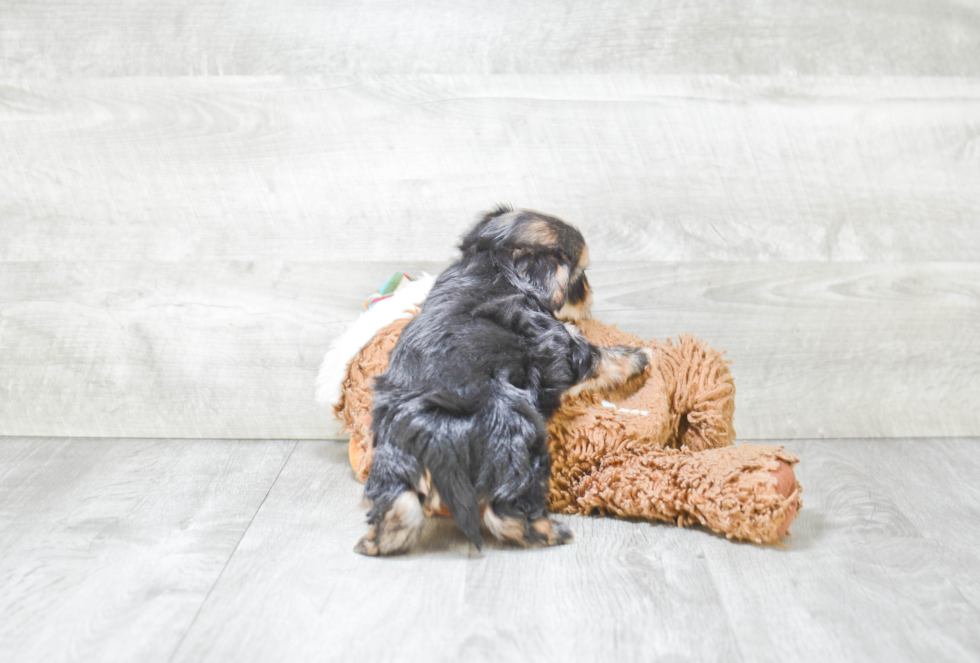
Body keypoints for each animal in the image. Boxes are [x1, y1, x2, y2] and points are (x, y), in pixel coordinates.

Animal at [352, 206, 652, 556]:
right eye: (580, 277)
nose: (590, 295)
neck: (491, 263)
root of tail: (435, 433)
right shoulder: (560, 348)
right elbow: (596, 356)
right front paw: (640, 355)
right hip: (517, 445)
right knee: (505, 508)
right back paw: (550, 533)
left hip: (393, 457)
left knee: (399, 506)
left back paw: (374, 542)